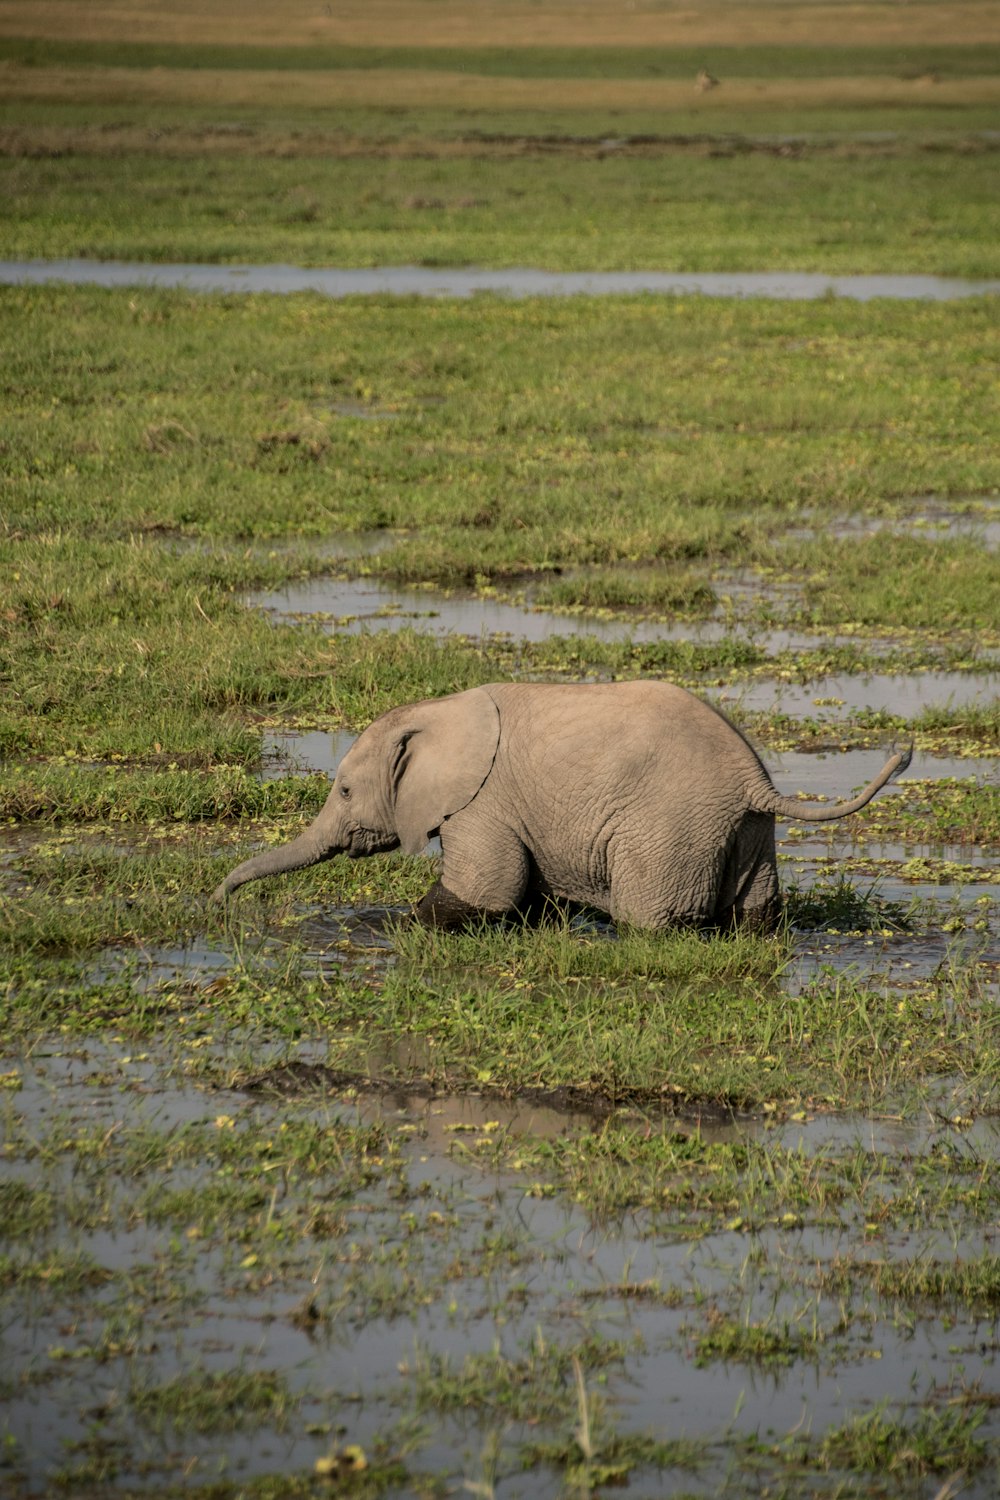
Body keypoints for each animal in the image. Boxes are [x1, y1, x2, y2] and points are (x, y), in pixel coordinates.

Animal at [212, 684, 917, 936]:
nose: (218, 900)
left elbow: (485, 891)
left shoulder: (482, 804)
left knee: (650, 918)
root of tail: (753, 781)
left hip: (668, 831)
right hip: (745, 831)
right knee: (756, 913)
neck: (438, 710)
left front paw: (398, 927)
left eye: (344, 792)